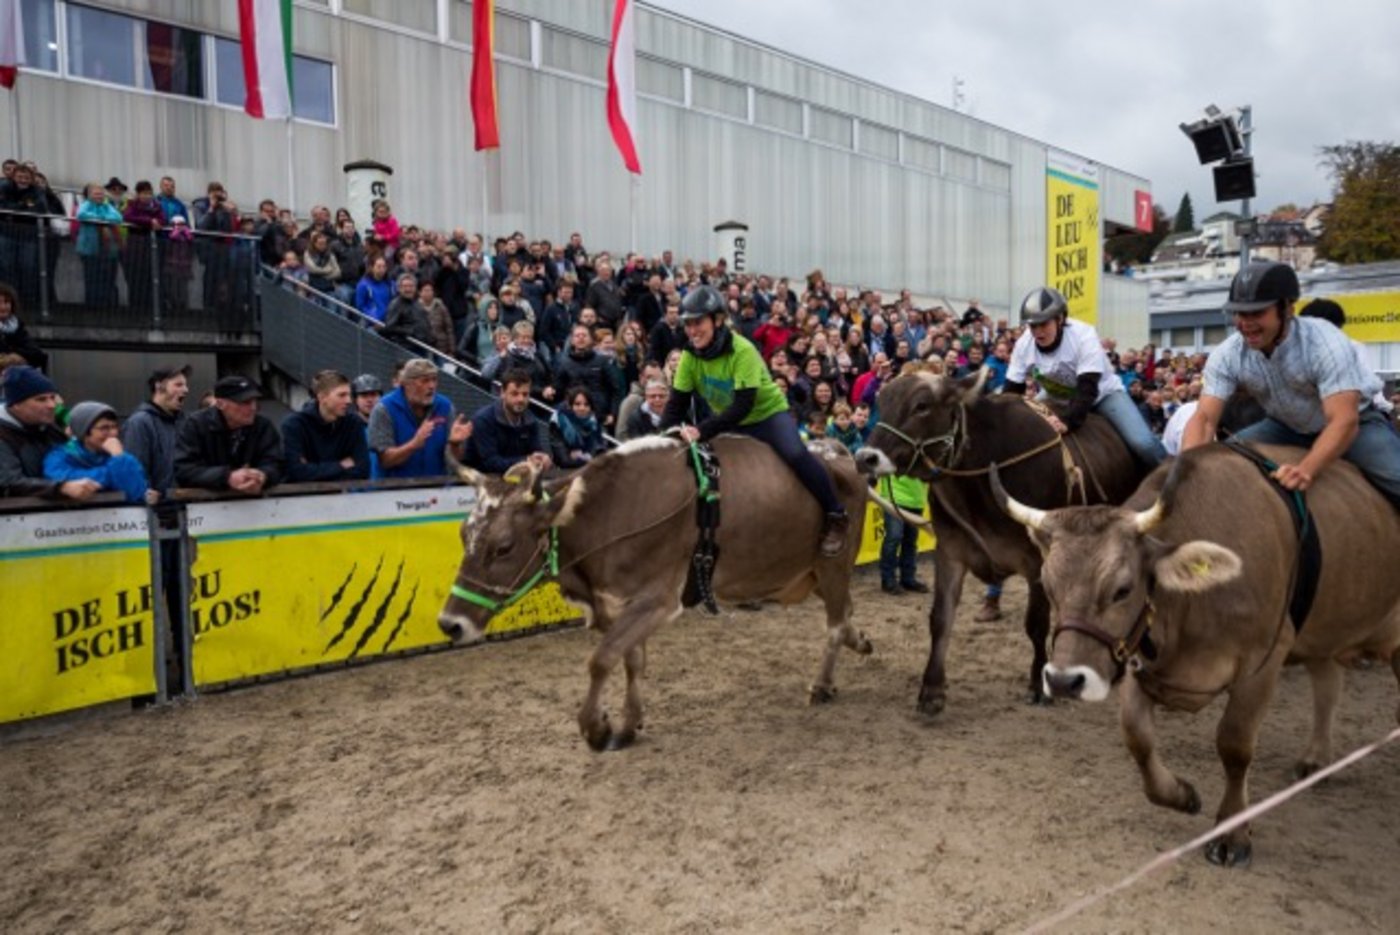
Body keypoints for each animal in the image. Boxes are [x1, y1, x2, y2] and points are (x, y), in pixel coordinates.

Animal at [437, 435, 880, 751]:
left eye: (504, 547)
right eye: (462, 534)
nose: (450, 624)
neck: (611, 512)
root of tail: (840, 455)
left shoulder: (658, 600)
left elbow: (601, 659)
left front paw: (596, 728)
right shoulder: (619, 605)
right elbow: (630, 660)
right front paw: (629, 723)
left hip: (834, 563)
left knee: (835, 623)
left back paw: (822, 683)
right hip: (810, 573)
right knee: (846, 614)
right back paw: (860, 641)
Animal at [855, 365, 1145, 714]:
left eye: (921, 405)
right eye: (881, 401)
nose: (865, 458)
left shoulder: (1037, 560)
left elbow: (1036, 624)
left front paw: (1039, 684)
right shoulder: (950, 551)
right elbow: (940, 618)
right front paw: (932, 690)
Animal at [991, 445, 1400, 866]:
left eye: (1122, 590)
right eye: (1048, 586)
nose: (1062, 680)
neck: (1190, 605)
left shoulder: (1264, 661)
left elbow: (1234, 746)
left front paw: (1232, 832)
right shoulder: (1138, 660)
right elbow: (1137, 737)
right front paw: (1181, 795)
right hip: (1325, 634)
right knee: (1328, 683)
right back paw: (1316, 759)